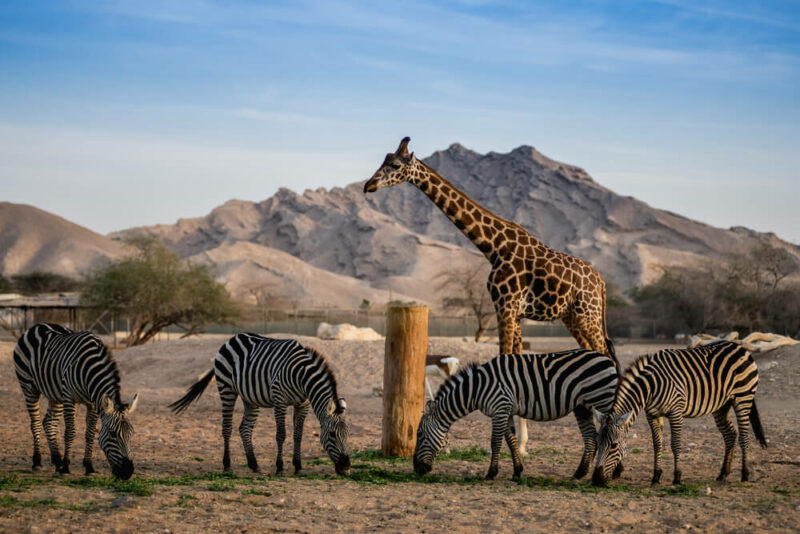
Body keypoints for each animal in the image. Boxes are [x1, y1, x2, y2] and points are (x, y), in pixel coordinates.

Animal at [13, 324, 139, 484]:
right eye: (112, 434)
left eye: (131, 433)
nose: (127, 472)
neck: (90, 370)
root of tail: (37, 326)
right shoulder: (69, 398)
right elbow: (70, 432)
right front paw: (66, 468)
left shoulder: (93, 403)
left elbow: (90, 433)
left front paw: (89, 467)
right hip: (29, 386)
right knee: (35, 423)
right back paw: (37, 462)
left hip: (55, 394)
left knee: (48, 422)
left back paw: (57, 461)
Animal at [170, 336, 352, 478]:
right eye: (331, 434)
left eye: (347, 435)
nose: (346, 468)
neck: (302, 376)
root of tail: (232, 338)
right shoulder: (280, 400)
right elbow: (281, 434)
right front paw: (280, 467)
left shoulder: (303, 404)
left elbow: (298, 435)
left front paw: (298, 466)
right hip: (226, 388)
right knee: (227, 427)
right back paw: (227, 465)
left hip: (251, 398)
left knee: (245, 428)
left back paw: (254, 464)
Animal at [364, 137, 620, 456]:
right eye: (383, 161)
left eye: (395, 165)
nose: (369, 185)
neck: (494, 246)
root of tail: (602, 283)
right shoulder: (514, 311)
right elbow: (516, 362)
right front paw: (521, 444)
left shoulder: (505, 305)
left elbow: (505, 361)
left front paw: (501, 445)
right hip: (572, 317)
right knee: (598, 355)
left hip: (588, 313)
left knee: (607, 355)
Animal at [416, 350, 620, 484]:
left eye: (420, 435)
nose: (417, 469)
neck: (478, 388)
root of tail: (606, 358)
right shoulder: (505, 410)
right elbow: (511, 441)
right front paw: (517, 472)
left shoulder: (499, 408)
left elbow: (496, 442)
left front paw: (491, 473)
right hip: (582, 406)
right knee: (591, 438)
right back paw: (580, 473)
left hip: (604, 398)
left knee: (615, 430)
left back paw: (615, 470)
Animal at [592, 344, 768, 490]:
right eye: (598, 442)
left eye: (614, 445)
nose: (596, 480)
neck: (650, 386)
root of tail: (740, 347)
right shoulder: (652, 415)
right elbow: (657, 445)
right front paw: (656, 476)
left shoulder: (676, 412)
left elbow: (675, 444)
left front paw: (677, 477)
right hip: (722, 405)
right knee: (730, 434)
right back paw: (723, 473)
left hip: (743, 398)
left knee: (744, 437)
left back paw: (745, 474)